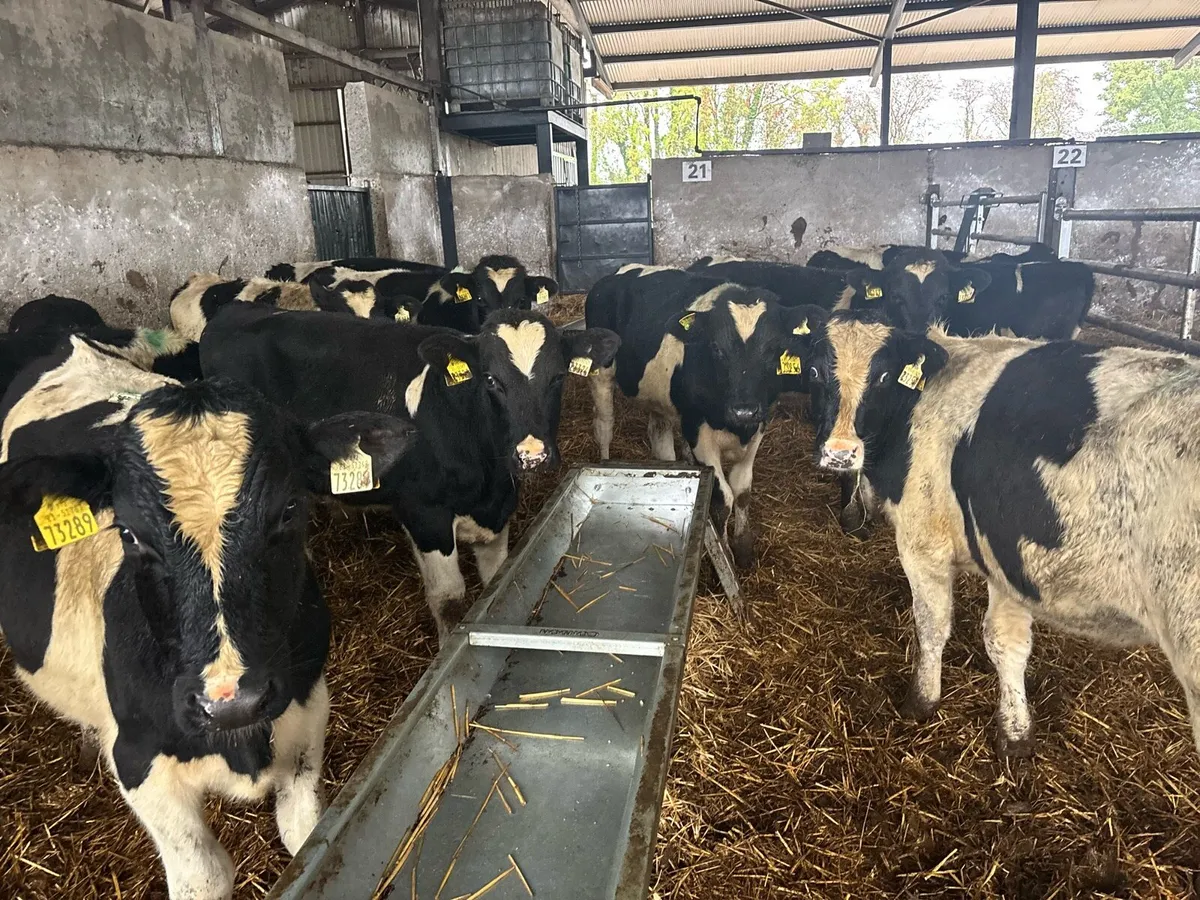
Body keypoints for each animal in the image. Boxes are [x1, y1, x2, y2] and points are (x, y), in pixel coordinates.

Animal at [0, 336, 414, 899]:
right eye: (128, 533)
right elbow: (204, 876)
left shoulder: (308, 707)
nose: (232, 701)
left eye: (289, 509)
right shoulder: (138, 761)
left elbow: (306, 837)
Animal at [199, 303, 619, 642]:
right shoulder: (425, 514)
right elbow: (450, 599)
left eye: (558, 377)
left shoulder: (497, 511)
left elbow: (496, 580)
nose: (532, 455)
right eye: (490, 379)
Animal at [585, 264, 818, 570]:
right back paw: (605, 461)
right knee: (604, 426)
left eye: (773, 348)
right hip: (601, 373)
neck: (735, 424)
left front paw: (743, 546)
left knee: (659, 436)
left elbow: (743, 491)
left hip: (658, 396)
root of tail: (617, 272)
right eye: (716, 348)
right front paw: (725, 554)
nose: (744, 409)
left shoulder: (759, 426)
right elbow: (725, 497)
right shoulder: (698, 431)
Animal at [803, 309, 1200, 762]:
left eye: (884, 376)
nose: (840, 453)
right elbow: (1005, 642)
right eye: (814, 371)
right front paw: (1015, 732)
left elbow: (932, 625)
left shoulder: (923, 543)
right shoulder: (1006, 556)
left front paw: (921, 700)